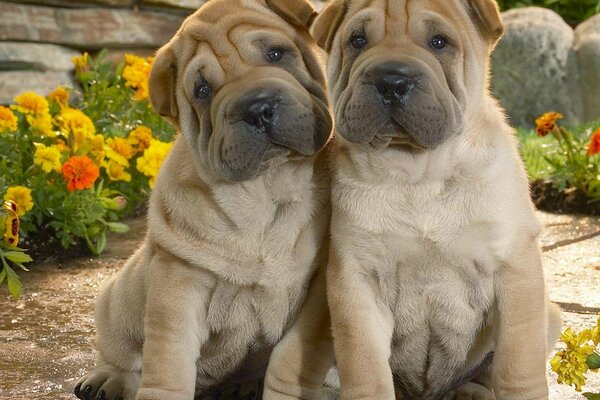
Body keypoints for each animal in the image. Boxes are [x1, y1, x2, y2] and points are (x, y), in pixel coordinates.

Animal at [74, 0, 332, 400]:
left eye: (276, 54)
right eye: (202, 90)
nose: (257, 109)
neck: (264, 191)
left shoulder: (315, 295)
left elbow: (290, 360)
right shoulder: (178, 281)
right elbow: (168, 362)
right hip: (117, 299)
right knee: (122, 352)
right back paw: (107, 378)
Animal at [266, 0, 564, 400]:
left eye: (439, 42)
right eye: (357, 40)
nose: (391, 81)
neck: (418, 174)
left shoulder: (513, 269)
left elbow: (518, 363)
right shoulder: (357, 282)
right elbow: (364, 367)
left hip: (551, 313)